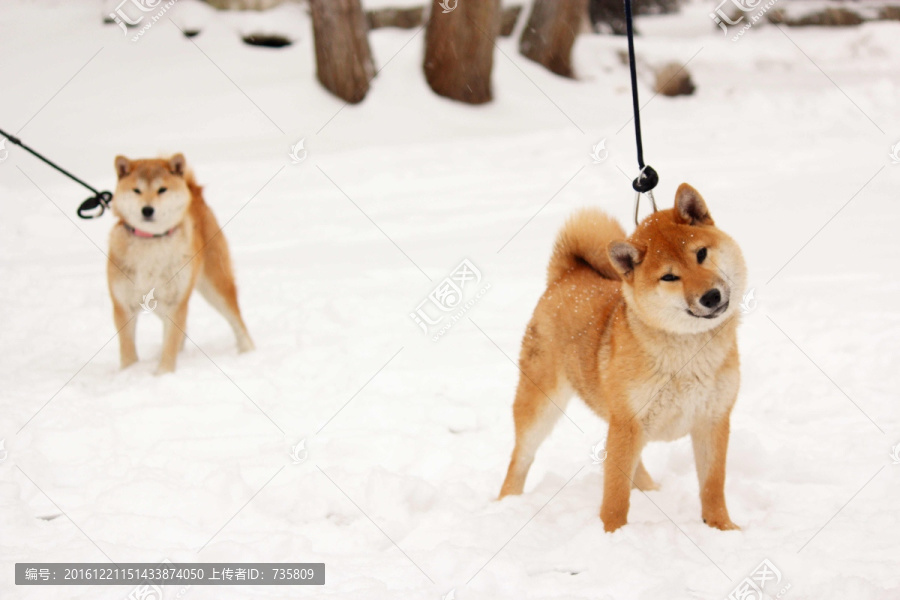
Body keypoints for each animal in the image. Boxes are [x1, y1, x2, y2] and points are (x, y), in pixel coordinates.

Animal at [111, 152, 256, 372]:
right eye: (136, 190)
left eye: (162, 189)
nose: (147, 210)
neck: (152, 241)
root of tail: (194, 192)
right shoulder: (123, 303)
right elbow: (128, 349)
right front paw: (129, 373)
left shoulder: (176, 301)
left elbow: (169, 343)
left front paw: (163, 374)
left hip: (215, 286)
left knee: (236, 320)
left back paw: (248, 352)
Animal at [500, 183, 744, 528]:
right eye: (669, 277)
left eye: (701, 254)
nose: (711, 296)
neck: (687, 351)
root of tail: (568, 274)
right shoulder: (628, 423)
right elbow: (615, 496)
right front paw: (612, 533)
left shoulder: (713, 419)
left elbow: (712, 486)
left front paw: (722, 528)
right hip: (541, 407)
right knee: (519, 459)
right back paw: (506, 504)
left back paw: (651, 490)